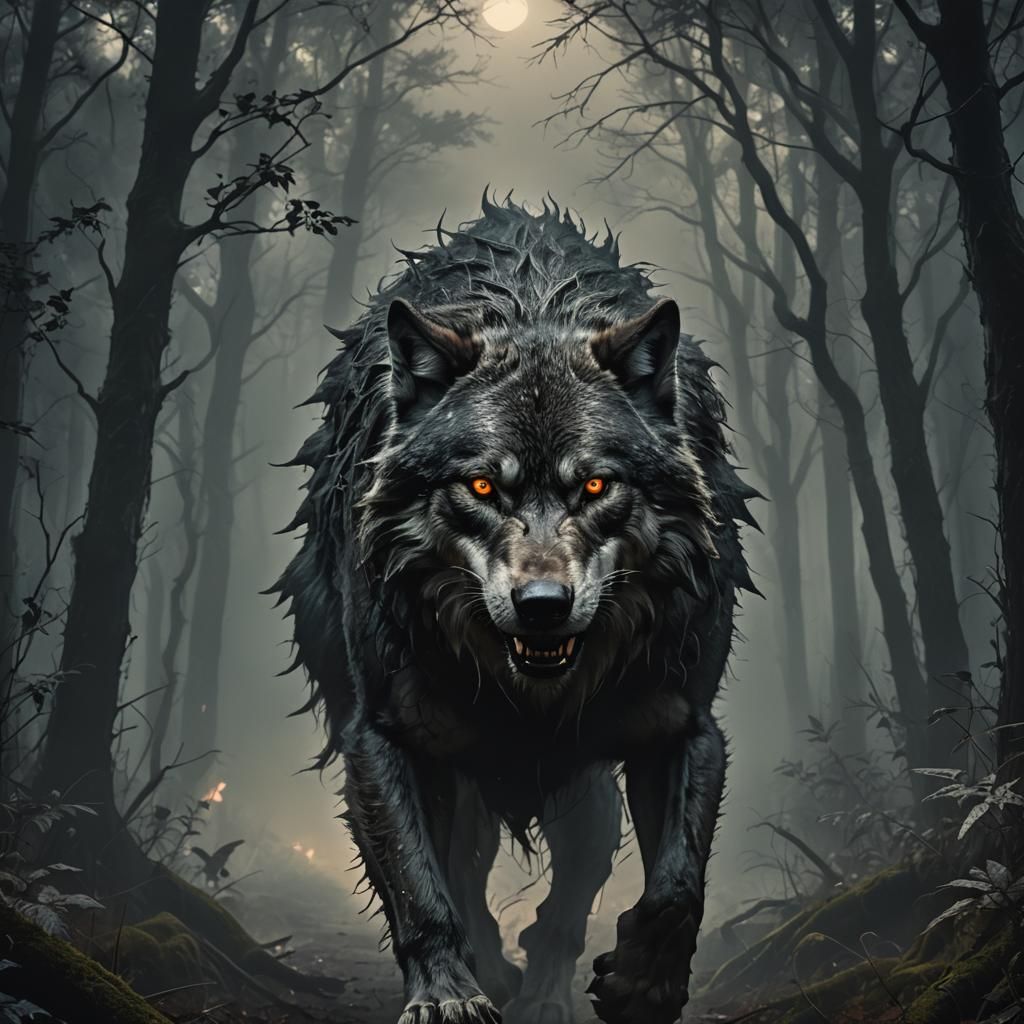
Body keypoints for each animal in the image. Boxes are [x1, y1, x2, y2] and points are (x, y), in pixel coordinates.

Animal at [276, 196, 757, 1024]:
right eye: (480, 487)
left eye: (594, 486)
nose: (541, 607)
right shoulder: (385, 734)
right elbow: (423, 891)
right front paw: (448, 996)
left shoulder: (683, 725)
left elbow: (675, 887)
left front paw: (641, 986)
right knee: (466, 875)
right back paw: (496, 972)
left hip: (583, 779)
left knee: (575, 882)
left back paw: (547, 993)